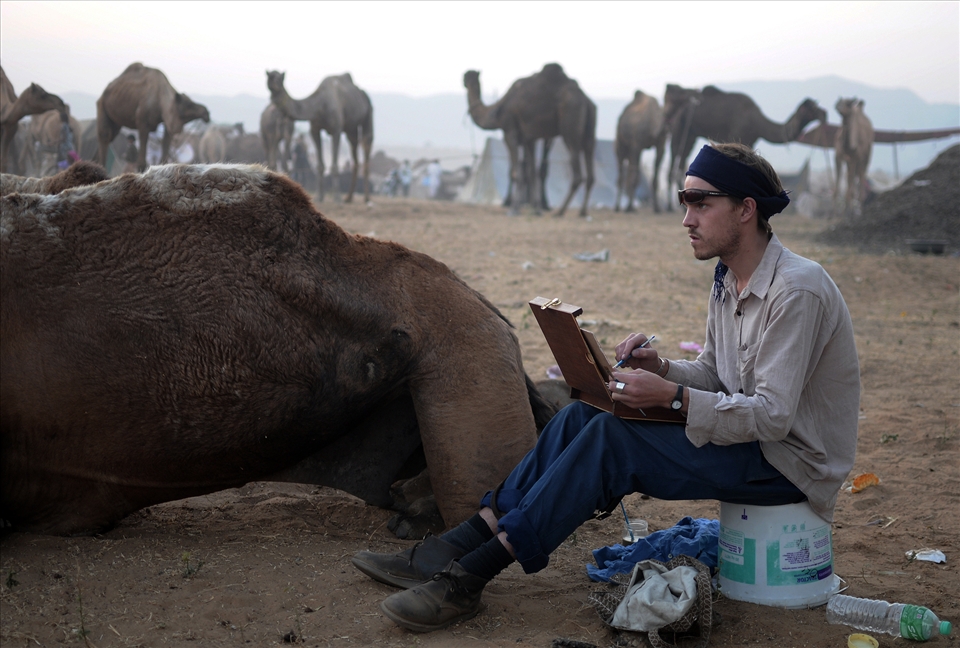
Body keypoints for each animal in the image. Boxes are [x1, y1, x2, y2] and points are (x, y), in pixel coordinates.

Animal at [266, 71, 373, 203]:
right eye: (268, 75)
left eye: (279, 78)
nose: (270, 81)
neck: (320, 105)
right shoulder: (315, 130)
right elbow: (320, 165)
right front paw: (319, 196)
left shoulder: (336, 130)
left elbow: (334, 165)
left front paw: (336, 197)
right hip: (351, 128)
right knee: (355, 152)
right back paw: (348, 197)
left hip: (368, 113)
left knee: (367, 143)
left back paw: (367, 198)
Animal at [464, 64, 596, 217]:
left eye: (467, 77)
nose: (465, 78)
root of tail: (586, 100)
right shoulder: (529, 139)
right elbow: (531, 172)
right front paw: (536, 209)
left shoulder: (510, 131)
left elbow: (516, 172)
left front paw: (514, 209)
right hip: (589, 131)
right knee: (590, 168)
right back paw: (582, 211)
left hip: (571, 127)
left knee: (577, 173)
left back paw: (560, 211)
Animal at [663, 84, 827, 207]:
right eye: (811, 109)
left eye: (817, 105)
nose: (824, 113)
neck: (757, 122)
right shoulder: (737, 136)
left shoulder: (750, 143)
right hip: (678, 129)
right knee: (674, 160)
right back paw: (669, 207)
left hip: (690, 134)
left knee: (681, 160)